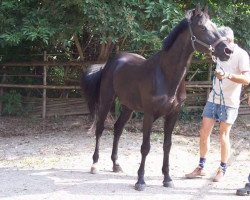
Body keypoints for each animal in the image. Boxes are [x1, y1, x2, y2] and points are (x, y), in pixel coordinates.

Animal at [81, 5, 231, 191]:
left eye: (215, 26)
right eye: (202, 28)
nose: (228, 51)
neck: (165, 75)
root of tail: (109, 63)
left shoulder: (173, 115)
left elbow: (167, 145)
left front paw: (167, 178)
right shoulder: (149, 114)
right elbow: (145, 147)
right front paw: (140, 181)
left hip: (128, 107)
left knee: (117, 129)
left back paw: (116, 164)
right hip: (106, 101)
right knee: (100, 129)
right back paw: (94, 164)